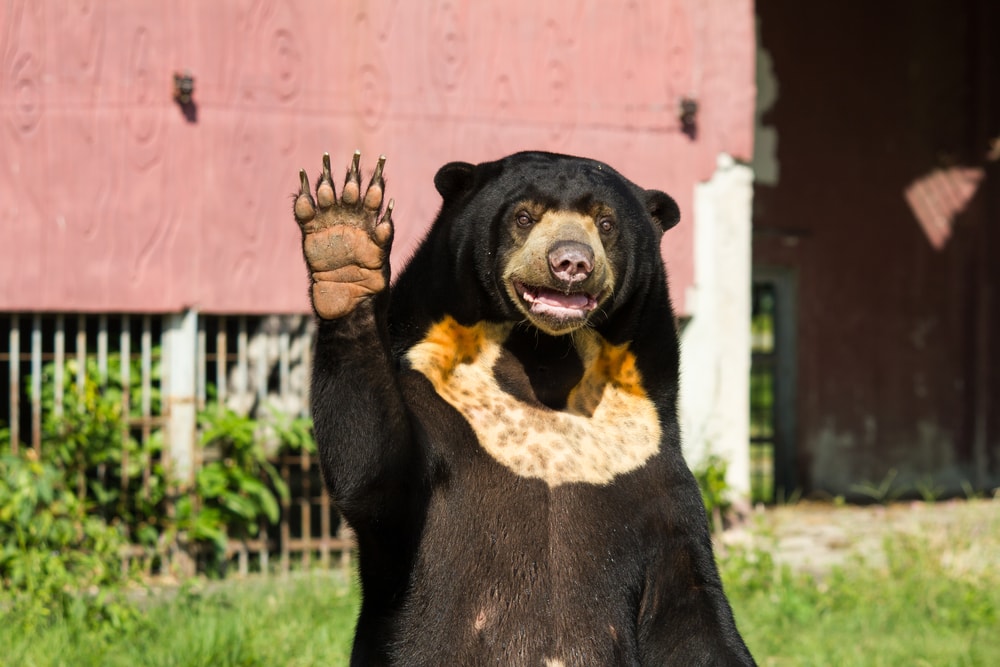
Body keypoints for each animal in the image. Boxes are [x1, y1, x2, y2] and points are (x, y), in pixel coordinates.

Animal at [291, 150, 756, 666]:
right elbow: (372, 473)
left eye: (606, 223)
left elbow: (689, 610)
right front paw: (344, 241)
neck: (546, 357)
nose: (571, 262)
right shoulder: (433, 402)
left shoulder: (649, 461)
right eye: (524, 216)